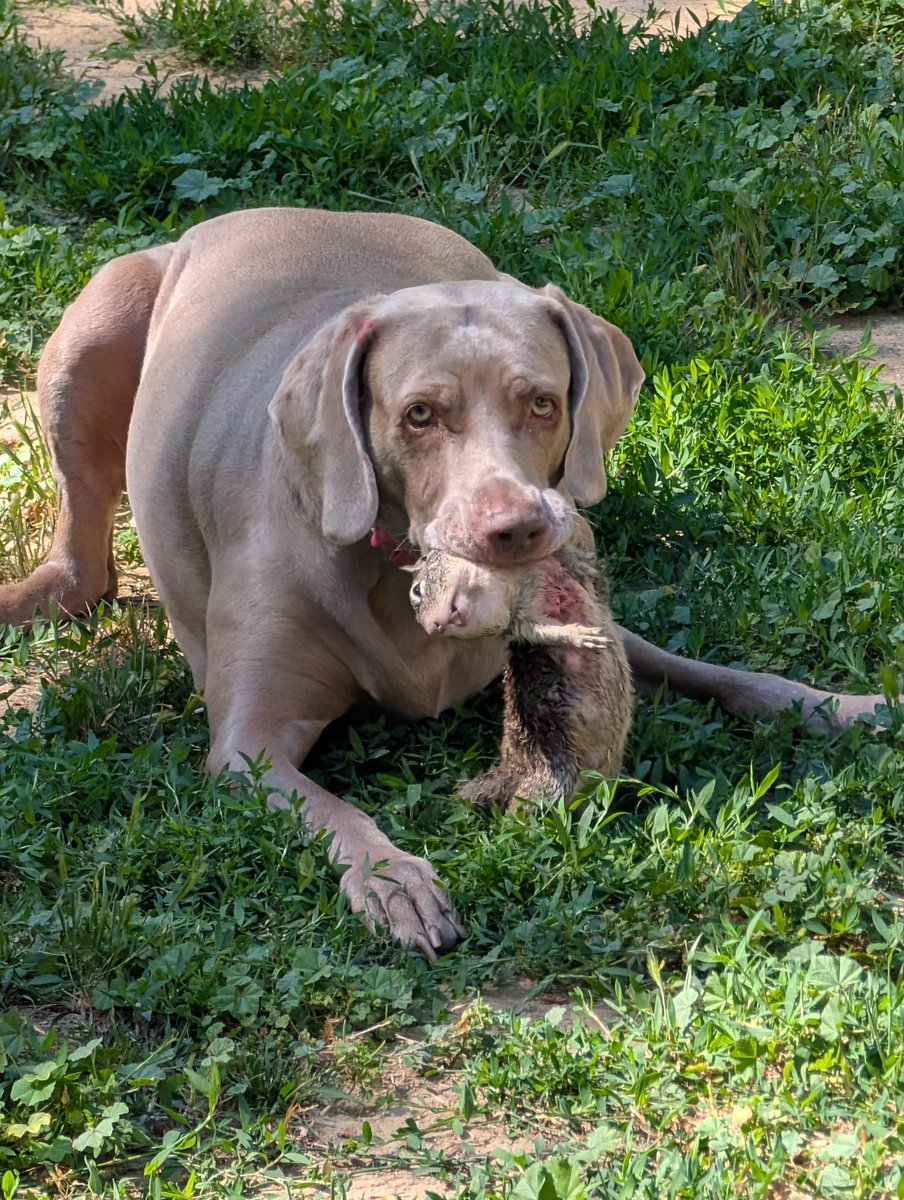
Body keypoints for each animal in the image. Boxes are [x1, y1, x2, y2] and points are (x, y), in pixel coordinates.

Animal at [408, 537, 632, 809]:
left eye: (417, 590)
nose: (433, 628)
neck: (509, 580)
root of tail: (511, 770)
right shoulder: (518, 622)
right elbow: (543, 632)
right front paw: (577, 636)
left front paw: (582, 564)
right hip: (550, 781)